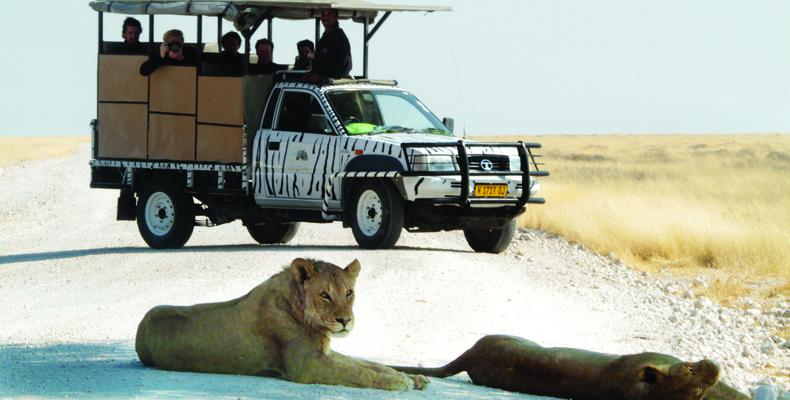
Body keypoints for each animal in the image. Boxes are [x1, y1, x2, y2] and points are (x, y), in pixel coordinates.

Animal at [139, 256, 430, 390]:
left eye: (349, 292)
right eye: (324, 294)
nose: (345, 321)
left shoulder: (323, 353)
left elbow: (369, 364)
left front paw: (411, 377)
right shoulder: (307, 366)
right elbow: (358, 372)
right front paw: (400, 383)